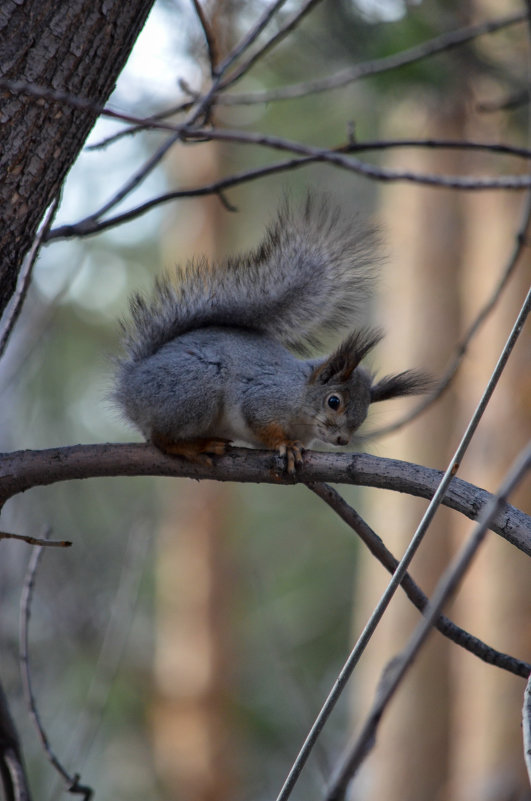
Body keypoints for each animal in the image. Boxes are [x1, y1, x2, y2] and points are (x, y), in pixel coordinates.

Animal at [114, 195, 430, 472]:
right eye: (334, 401)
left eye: (365, 412)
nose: (342, 440)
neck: (300, 398)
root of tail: (129, 389)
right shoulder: (263, 397)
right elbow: (262, 423)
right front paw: (286, 445)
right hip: (194, 389)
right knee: (160, 438)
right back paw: (195, 447)